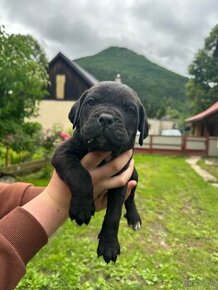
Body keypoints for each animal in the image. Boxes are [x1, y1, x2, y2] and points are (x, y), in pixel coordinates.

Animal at [52, 81, 149, 262]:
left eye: (130, 110)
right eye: (91, 102)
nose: (106, 118)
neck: (104, 151)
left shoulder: (121, 179)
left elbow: (114, 214)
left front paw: (109, 245)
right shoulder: (63, 153)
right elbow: (80, 176)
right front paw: (82, 208)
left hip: (134, 174)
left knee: (131, 198)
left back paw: (134, 218)